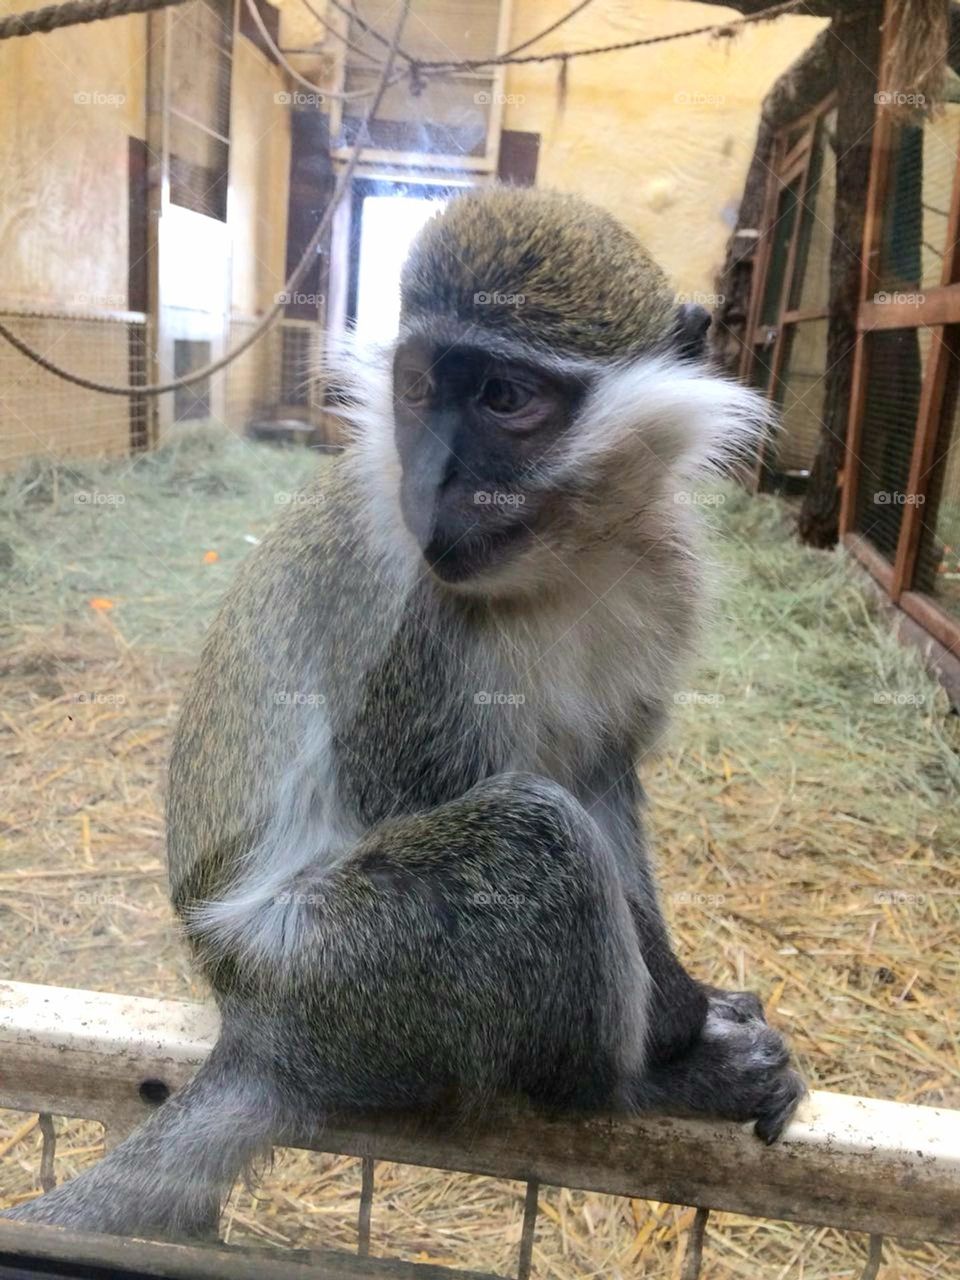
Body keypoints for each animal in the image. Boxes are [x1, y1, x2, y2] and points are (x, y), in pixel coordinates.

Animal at [5, 187, 804, 1242]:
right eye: (420, 387)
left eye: (503, 398)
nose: (434, 478)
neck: (559, 558)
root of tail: (252, 1023)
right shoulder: (395, 608)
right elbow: (433, 793)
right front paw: (680, 1025)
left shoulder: (662, 570)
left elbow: (603, 775)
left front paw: (689, 1000)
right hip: (342, 977)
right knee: (534, 835)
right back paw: (633, 1084)